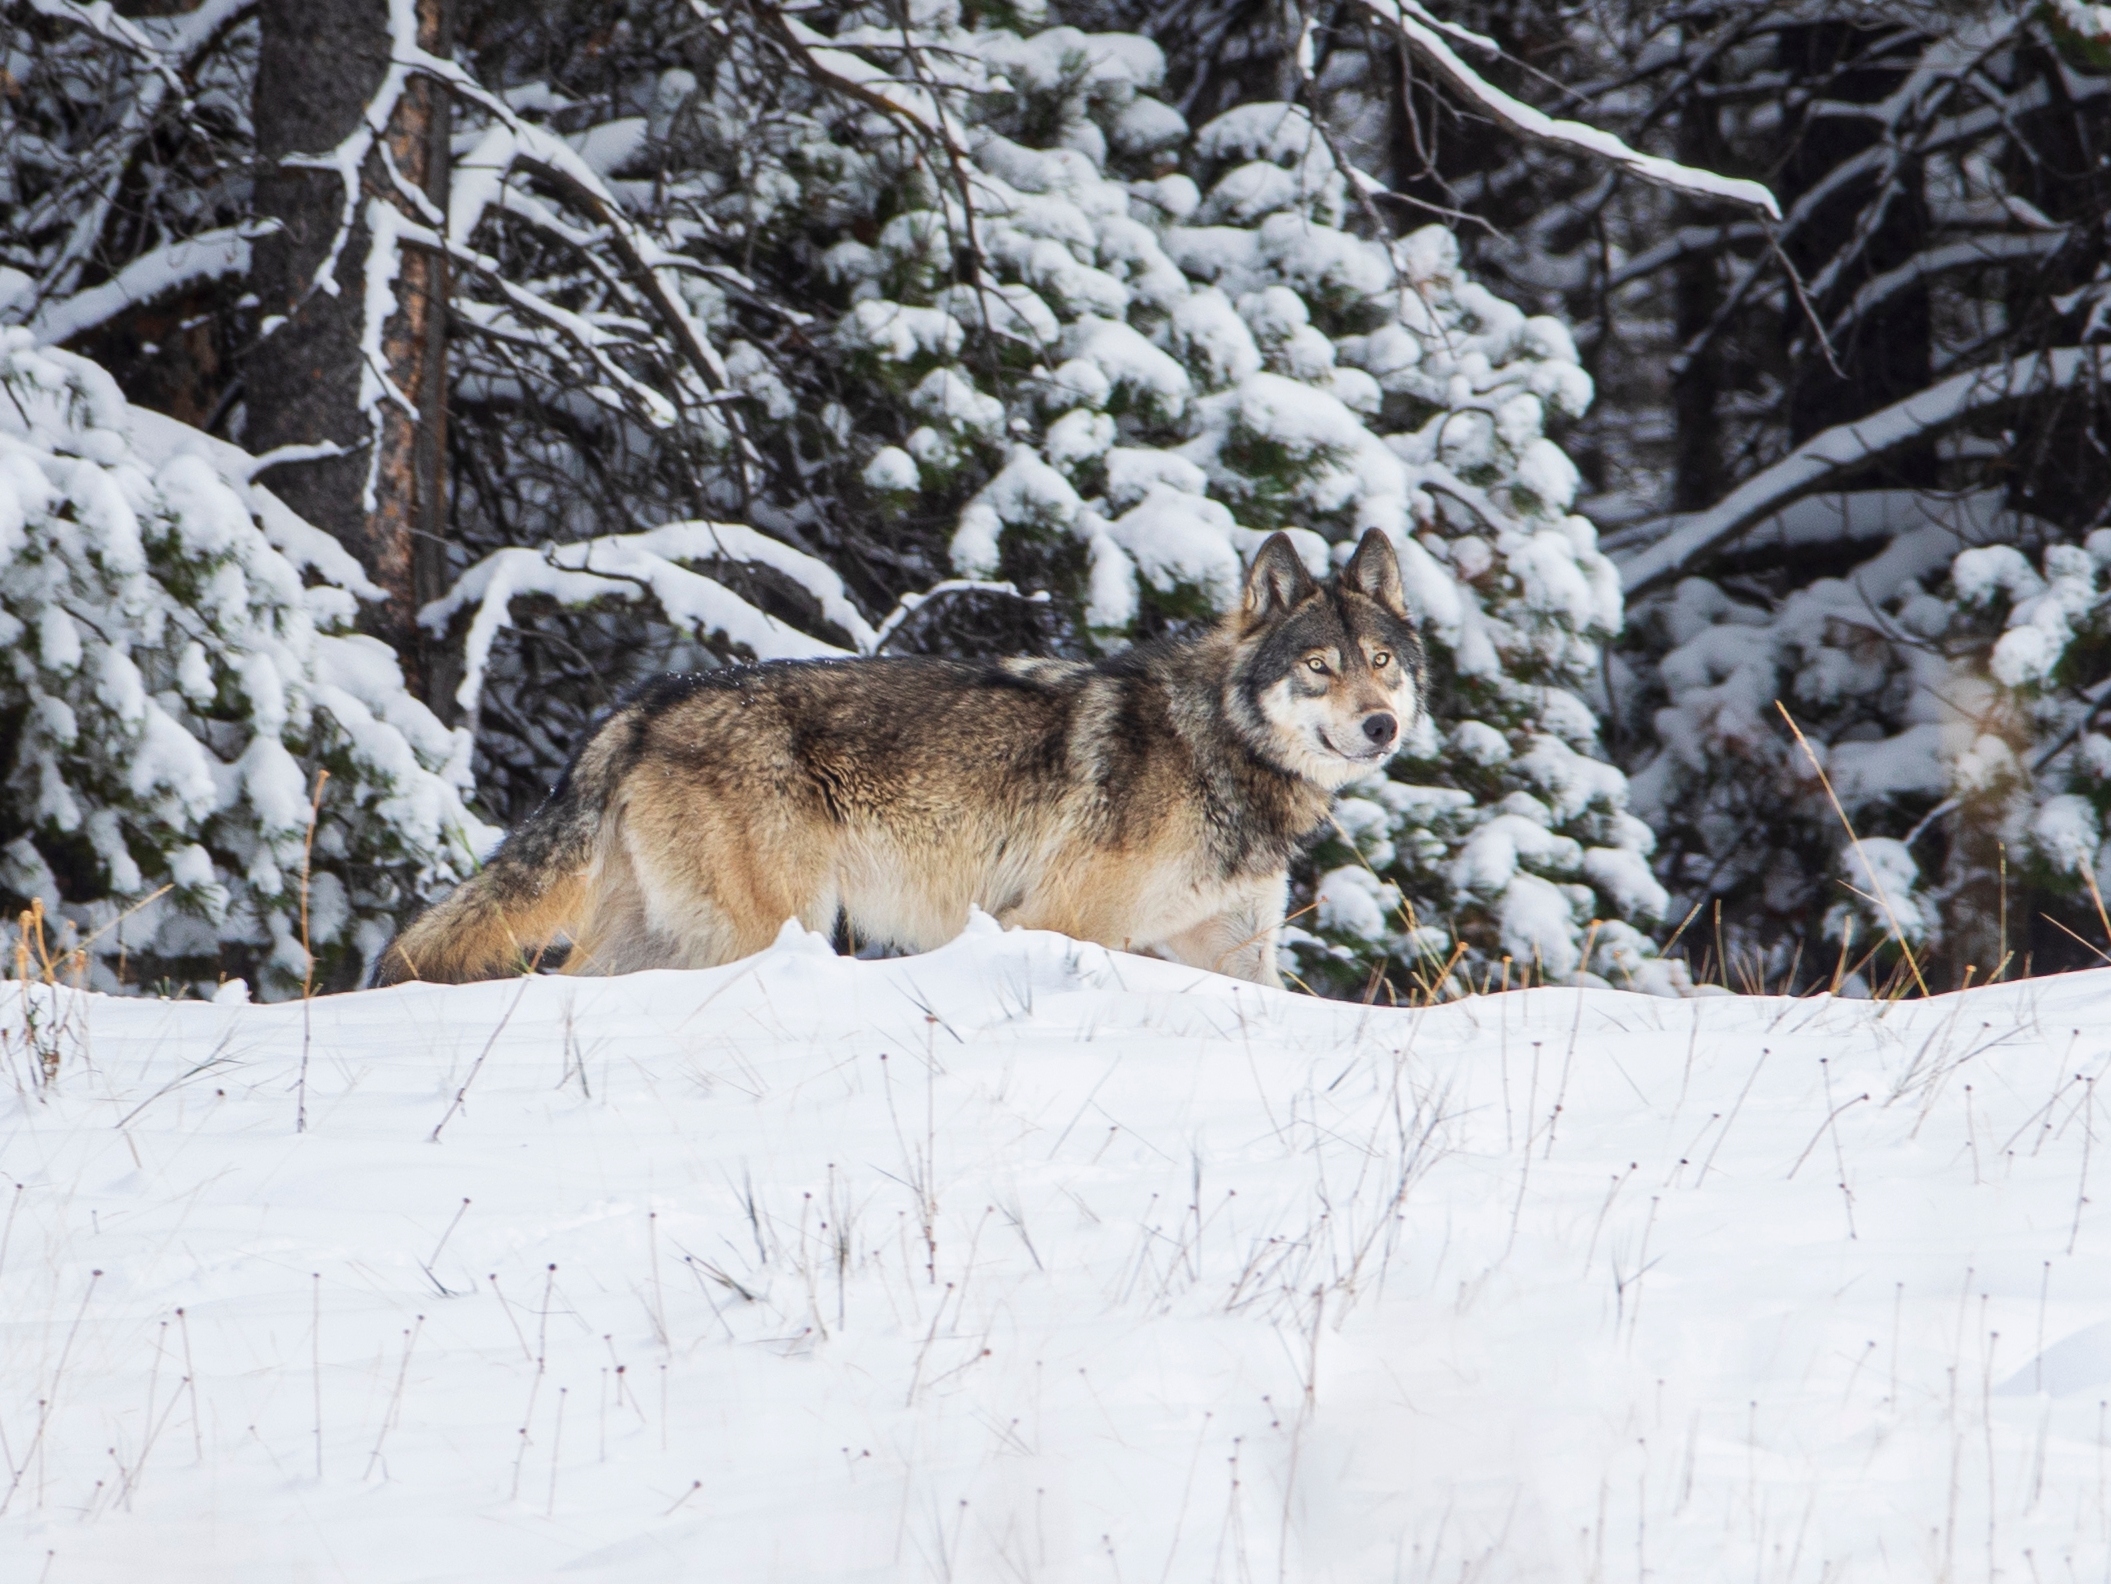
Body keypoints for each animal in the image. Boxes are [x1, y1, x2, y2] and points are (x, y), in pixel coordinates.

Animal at [377, 534, 1427, 992]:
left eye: (1381, 662)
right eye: (1318, 667)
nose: (1380, 726)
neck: (1218, 747)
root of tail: (647, 702)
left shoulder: (1235, 953)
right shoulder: (1055, 924)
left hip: (662, 935)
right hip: (774, 926)